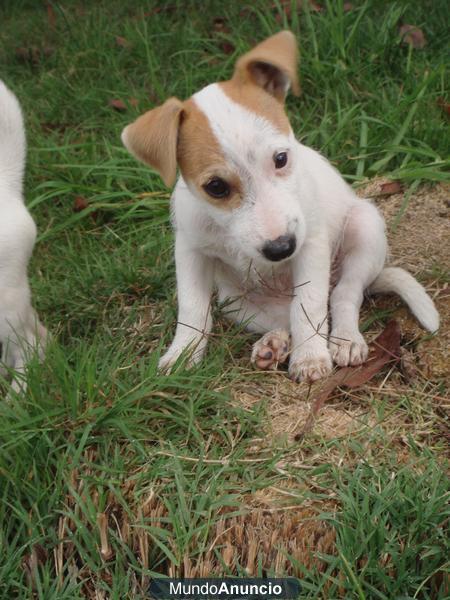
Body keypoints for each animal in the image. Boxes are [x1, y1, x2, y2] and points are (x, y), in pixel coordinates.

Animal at [121, 30, 438, 382]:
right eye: (216, 187)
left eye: (281, 158)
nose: (281, 248)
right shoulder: (190, 251)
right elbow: (193, 310)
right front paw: (182, 355)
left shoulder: (310, 245)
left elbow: (308, 306)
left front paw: (310, 357)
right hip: (237, 302)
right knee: (283, 317)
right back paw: (273, 344)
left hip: (365, 228)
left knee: (341, 297)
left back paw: (345, 339)